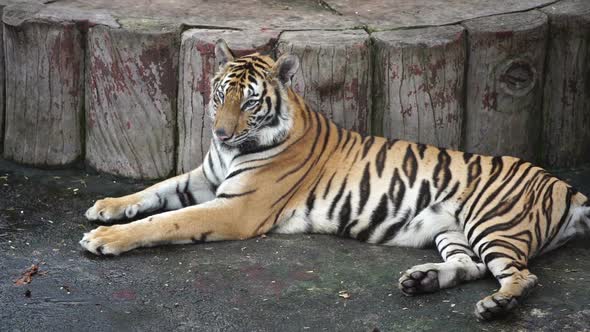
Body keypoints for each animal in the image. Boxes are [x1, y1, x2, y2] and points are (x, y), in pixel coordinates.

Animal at [82, 38, 590, 320]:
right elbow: (155, 191)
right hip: (452, 230)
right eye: (220, 95)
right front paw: (105, 208)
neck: (231, 152)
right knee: (474, 266)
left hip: (495, 223)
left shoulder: (236, 207)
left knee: (521, 275)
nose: (220, 133)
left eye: (249, 101)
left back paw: (496, 306)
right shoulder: (206, 178)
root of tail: (566, 185)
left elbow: (167, 220)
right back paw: (422, 280)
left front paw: (104, 238)